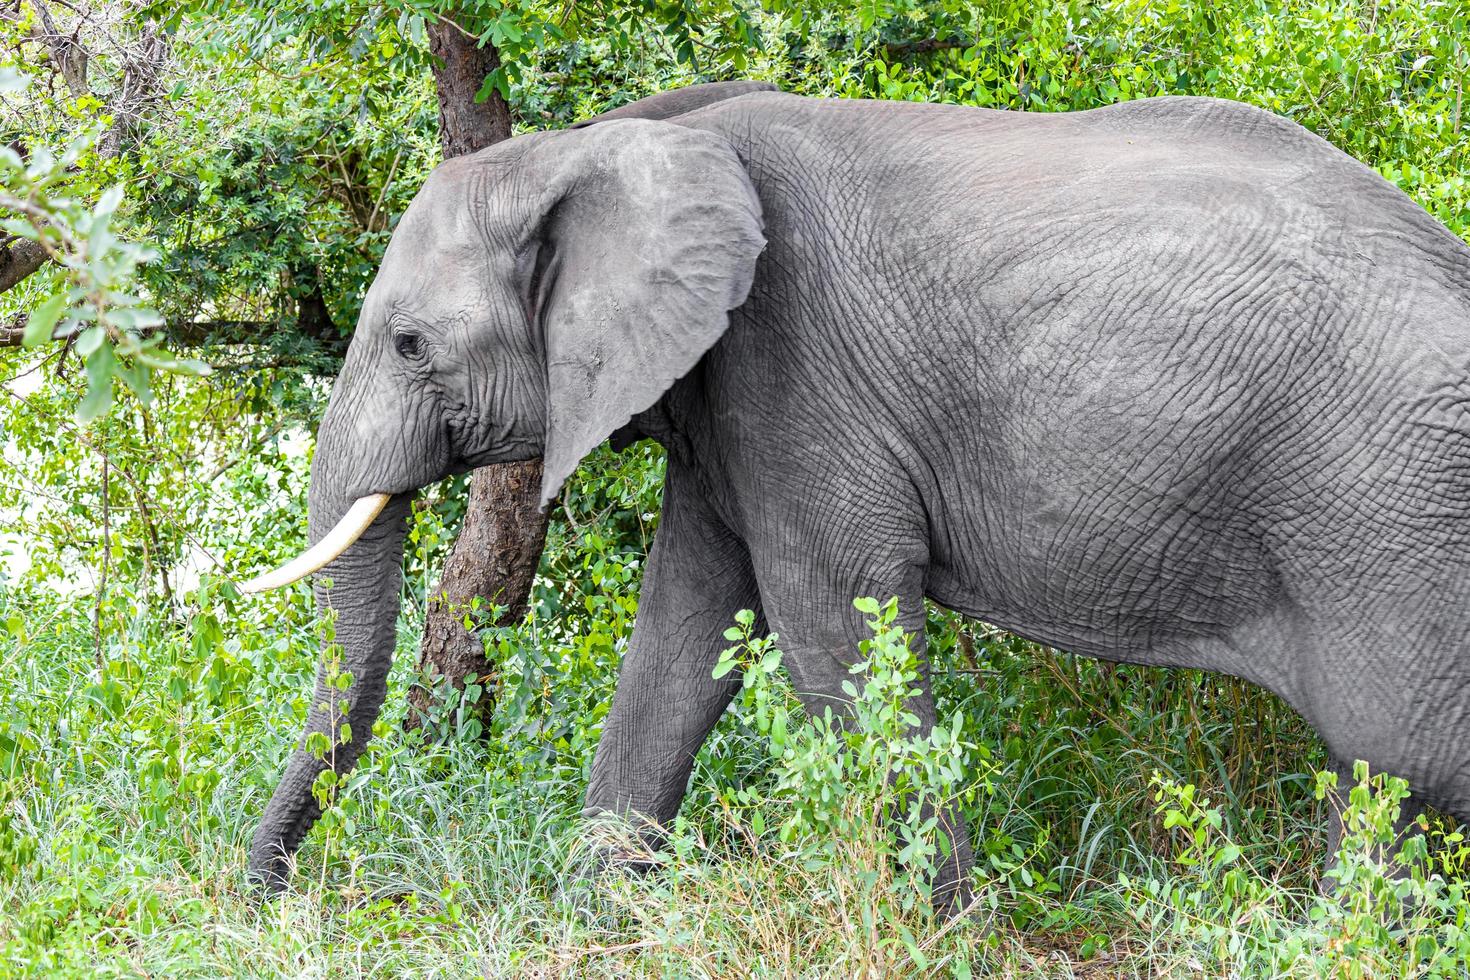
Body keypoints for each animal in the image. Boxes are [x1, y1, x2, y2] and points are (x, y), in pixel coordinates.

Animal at [241, 78, 1470, 905]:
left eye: (409, 345)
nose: (278, 894)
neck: (616, 141)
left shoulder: (793, 372)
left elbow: (834, 630)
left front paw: (951, 933)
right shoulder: (726, 397)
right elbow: (684, 633)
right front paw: (593, 913)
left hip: (1383, 510)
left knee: (1392, 769)